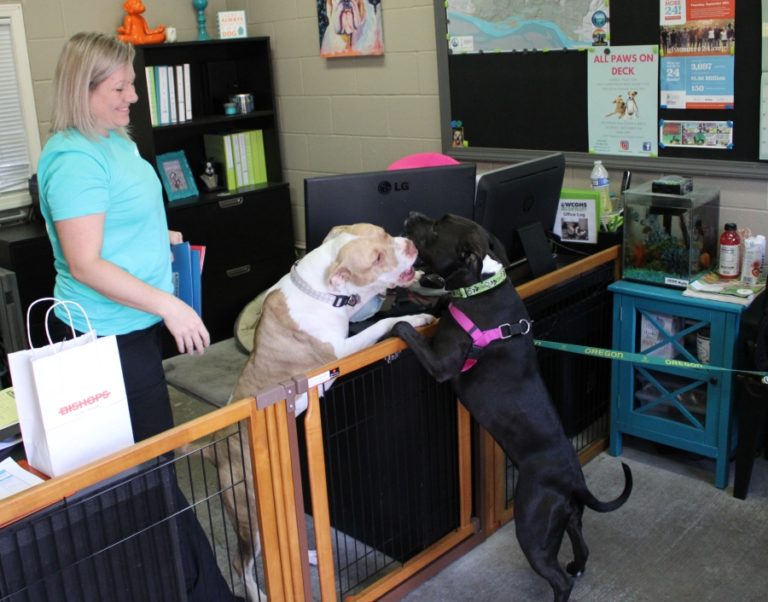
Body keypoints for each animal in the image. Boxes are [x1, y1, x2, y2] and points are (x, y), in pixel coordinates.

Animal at [206, 223, 432, 596]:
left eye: (385, 234)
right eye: (376, 258)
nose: (412, 246)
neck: (322, 290)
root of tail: (215, 450)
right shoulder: (341, 349)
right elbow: (381, 324)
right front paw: (414, 316)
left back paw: (310, 557)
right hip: (249, 514)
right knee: (242, 564)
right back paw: (258, 594)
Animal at [392, 212, 632, 600]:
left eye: (438, 227)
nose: (412, 214)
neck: (480, 285)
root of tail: (573, 481)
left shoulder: (442, 365)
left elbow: (411, 332)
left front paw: (403, 322)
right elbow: (436, 303)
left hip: (532, 523)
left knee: (558, 578)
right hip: (569, 518)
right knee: (582, 547)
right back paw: (577, 566)